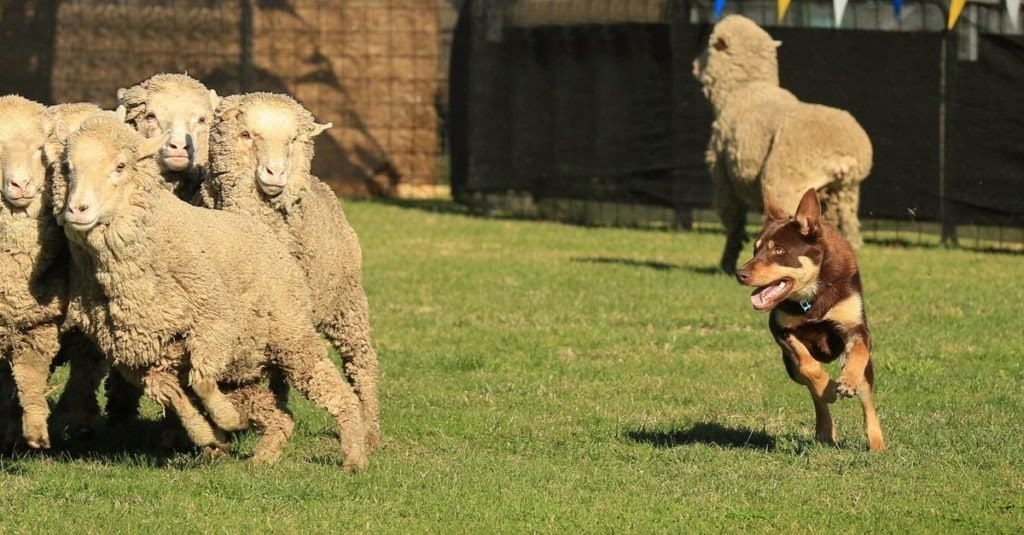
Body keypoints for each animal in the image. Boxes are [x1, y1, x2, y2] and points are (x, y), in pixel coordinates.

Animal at [60, 116, 367, 469]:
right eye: (69, 168)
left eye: (120, 166)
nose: (76, 210)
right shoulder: (141, 360)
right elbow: (177, 398)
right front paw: (208, 434)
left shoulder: (213, 327)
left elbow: (202, 381)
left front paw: (226, 420)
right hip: (241, 368)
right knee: (280, 415)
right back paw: (265, 455)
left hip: (289, 337)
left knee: (335, 391)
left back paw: (355, 454)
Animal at [201, 92, 382, 450]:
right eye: (246, 135)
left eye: (294, 141)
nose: (276, 173)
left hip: (346, 303)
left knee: (361, 361)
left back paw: (370, 430)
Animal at [693, 14, 872, 274]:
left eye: (708, 46)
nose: (694, 65)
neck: (747, 88)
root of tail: (843, 155)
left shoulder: (723, 178)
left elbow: (734, 224)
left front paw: (727, 263)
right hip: (844, 194)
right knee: (850, 235)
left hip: (787, 184)